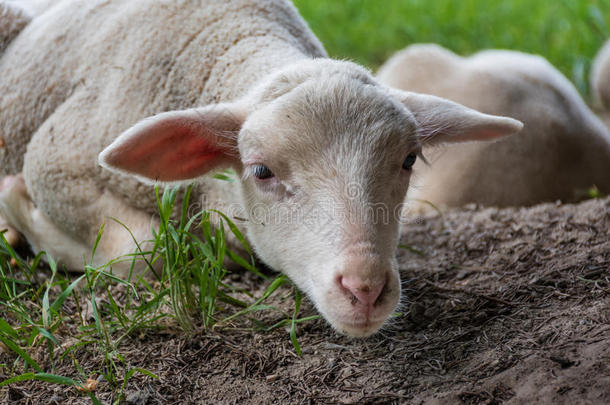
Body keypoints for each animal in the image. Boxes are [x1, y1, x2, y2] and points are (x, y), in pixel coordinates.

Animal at [0, 1, 520, 336]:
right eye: (262, 171)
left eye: (409, 160)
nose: (366, 289)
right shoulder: (55, 165)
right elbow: (141, 249)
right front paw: (16, 205)